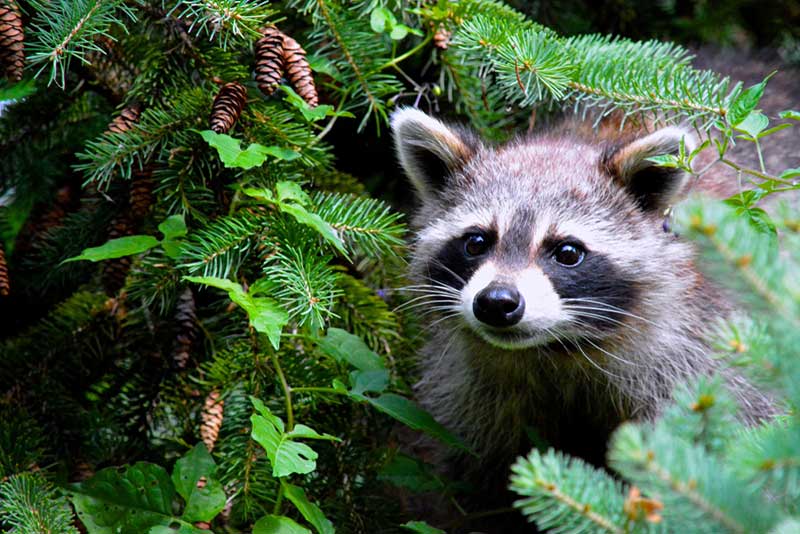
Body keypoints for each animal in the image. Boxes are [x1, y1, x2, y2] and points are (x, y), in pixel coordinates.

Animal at [390, 107, 780, 484]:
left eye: (567, 252)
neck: (557, 349)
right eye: (476, 242)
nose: (497, 302)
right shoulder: (470, 388)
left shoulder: (706, 358)